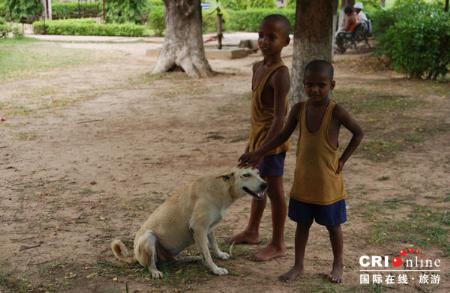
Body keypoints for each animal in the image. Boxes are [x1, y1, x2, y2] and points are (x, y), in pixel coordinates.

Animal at [111, 168, 268, 278]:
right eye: (246, 175)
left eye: (259, 173)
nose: (265, 184)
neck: (221, 189)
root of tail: (134, 256)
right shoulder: (199, 229)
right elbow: (207, 254)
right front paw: (215, 269)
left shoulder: (209, 228)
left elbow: (213, 245)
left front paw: (220, 254)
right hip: (149, 237)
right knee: (151, 264)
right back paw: (155, 271)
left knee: (175, 260)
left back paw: (191, 258)